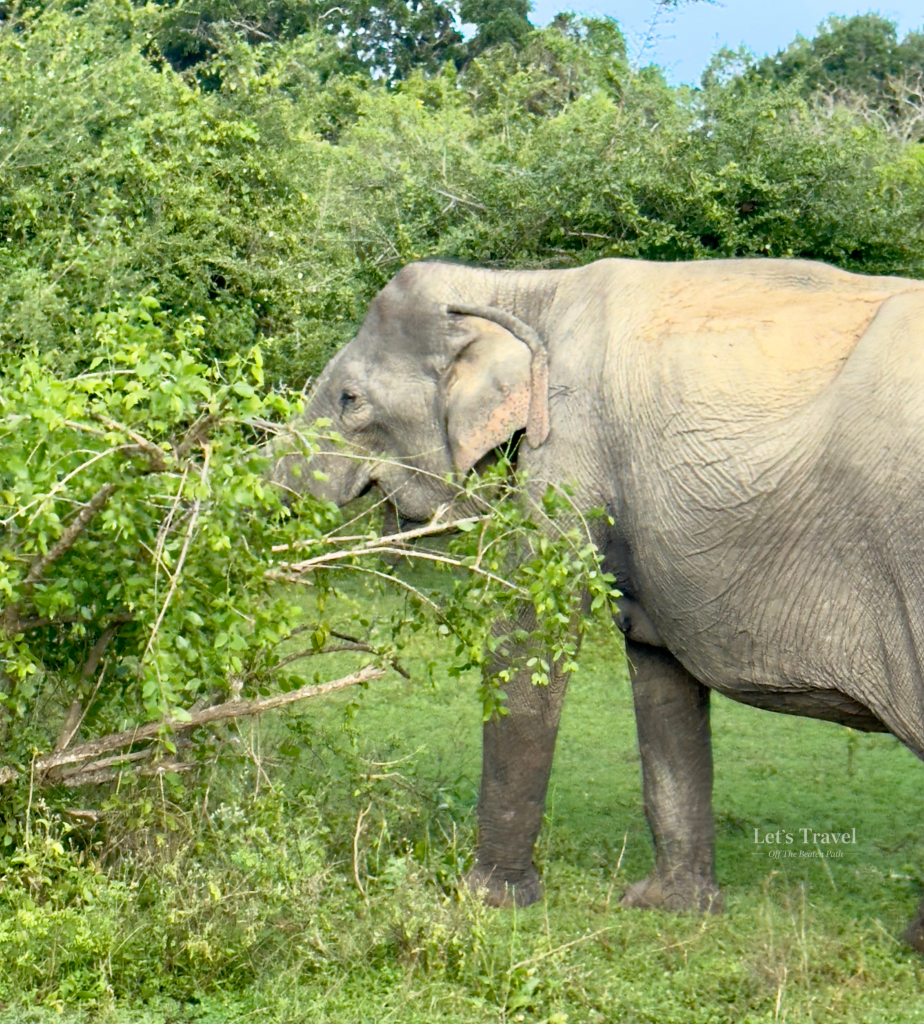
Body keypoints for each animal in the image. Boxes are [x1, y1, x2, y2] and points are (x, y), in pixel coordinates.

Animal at [272, 255, 924, 948]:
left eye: (350, 399)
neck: (523, 285)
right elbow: (658, 670)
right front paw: (669, 909)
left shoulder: (569, 446)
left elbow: (530, 629)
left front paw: (486, 902)